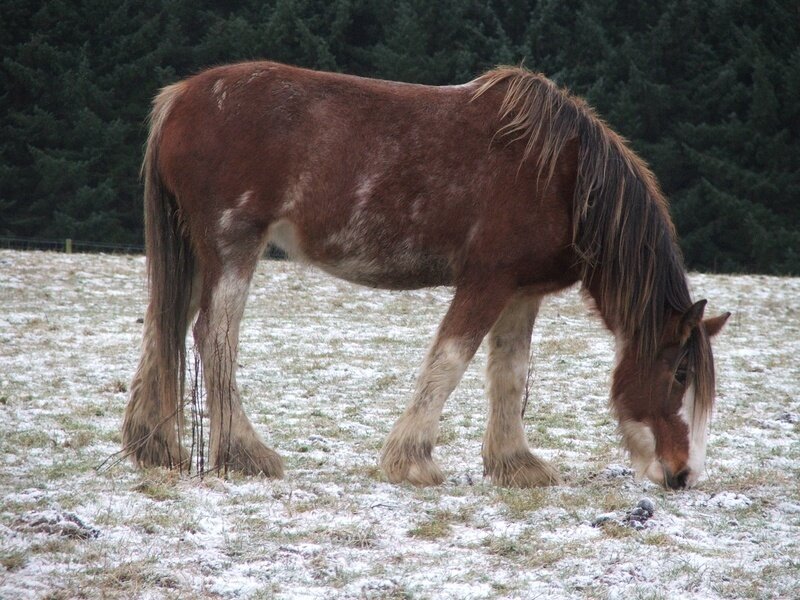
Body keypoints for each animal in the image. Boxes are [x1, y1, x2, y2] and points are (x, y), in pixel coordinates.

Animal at [123, 61, 730, 490]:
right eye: (680, 373)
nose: (683, 475)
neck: (563, 176)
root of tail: (181, 98)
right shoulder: (486, 282)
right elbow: (450, 360)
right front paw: (411, 461)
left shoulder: (521, 293)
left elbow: (509, 372)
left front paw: (514, 463)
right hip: (233, 246)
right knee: (213, 337)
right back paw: (245, 453)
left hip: (194, 254)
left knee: (164, 326)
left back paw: (156, 448)